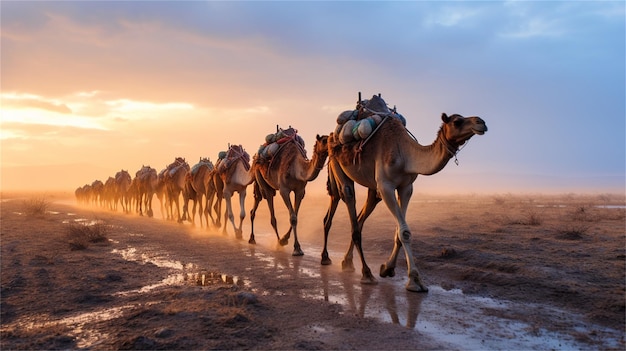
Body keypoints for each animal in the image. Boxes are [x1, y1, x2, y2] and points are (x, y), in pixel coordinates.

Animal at [320, 95, 486, 292]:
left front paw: (387, 268)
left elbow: (401, 232)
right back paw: (363, 272)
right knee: (346, 198)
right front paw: (414, 280)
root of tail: (332, 136)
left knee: (361, 216)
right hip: (337, 164)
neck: (405, 154)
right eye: (457, 121)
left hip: (372, 187)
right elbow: (404, 231)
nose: (481, 122)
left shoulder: (406, 187)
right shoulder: (386, 186)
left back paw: (347, 262)